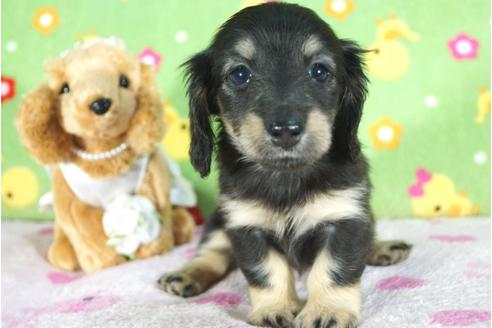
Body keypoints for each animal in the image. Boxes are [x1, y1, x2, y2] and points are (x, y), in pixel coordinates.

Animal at [159, 3, 412, 328]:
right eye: (239, 74)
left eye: (319, 71)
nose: (286, 130)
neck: (286, 177)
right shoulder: (245, 223)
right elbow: (267, 271)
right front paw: (274, 309)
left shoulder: (346, 217)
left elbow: (334, 269)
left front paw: (327, 310)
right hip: (218, 218)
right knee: (213, 252)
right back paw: (187, 274)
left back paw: (382, 248)